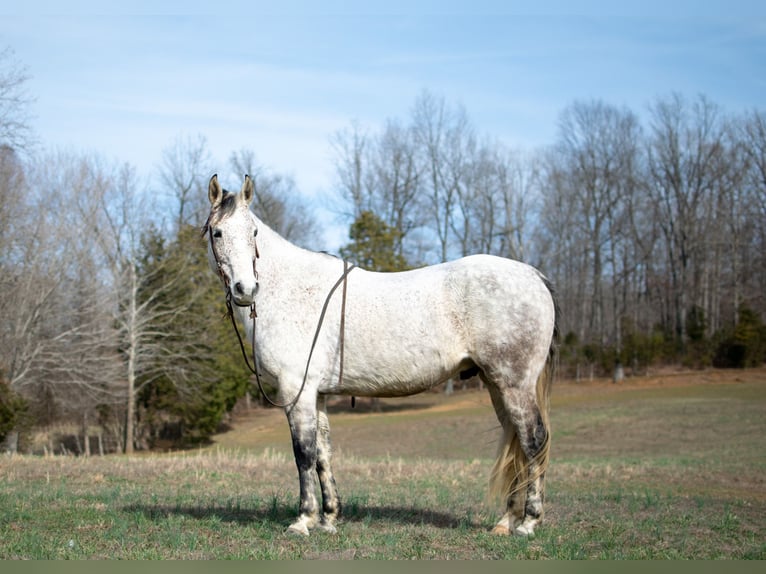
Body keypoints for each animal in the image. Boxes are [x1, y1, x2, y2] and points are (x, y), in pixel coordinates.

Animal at [204, 176, 560, 540]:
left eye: (253, 232)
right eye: (217, 232)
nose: (245, 289)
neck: (289, 291)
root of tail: (535, 277)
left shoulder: (296, 392)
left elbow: (303, 454)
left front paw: (303, 519)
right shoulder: (316, 395)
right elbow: (322, 454)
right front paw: (329, 518)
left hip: (515, 385)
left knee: (533, 440)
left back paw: (528, 523)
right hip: (496, 385)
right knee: (517, 442)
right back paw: (506, 521)